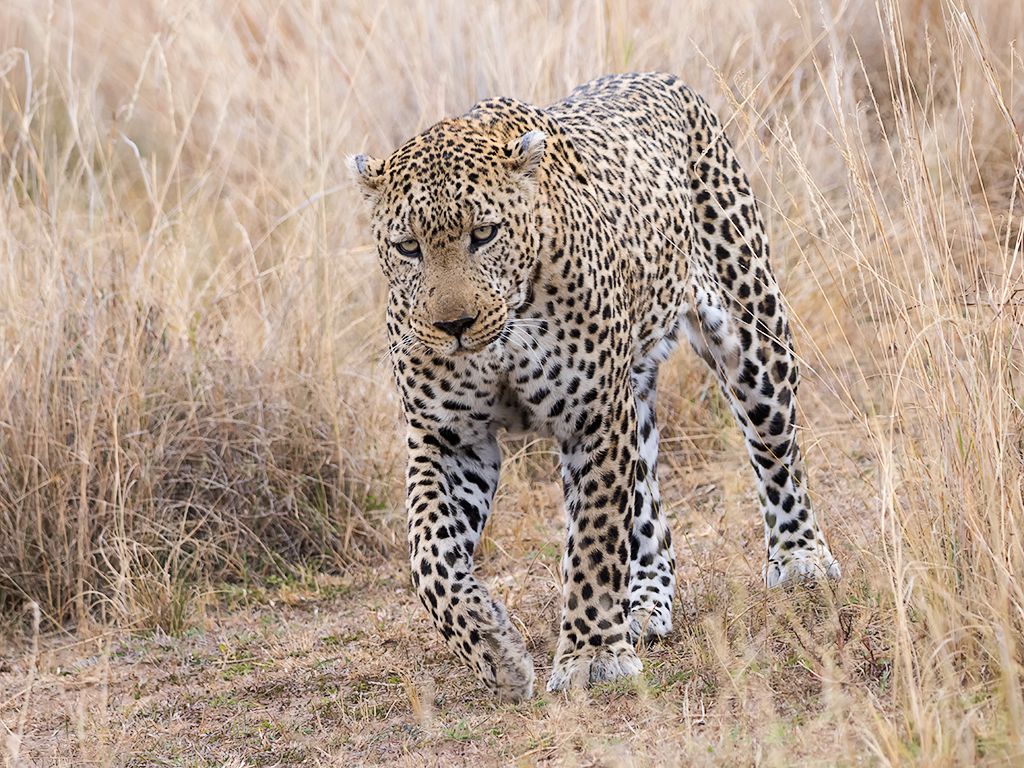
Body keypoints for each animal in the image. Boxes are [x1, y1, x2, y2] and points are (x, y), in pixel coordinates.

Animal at [348, 72, 840, 701]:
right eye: (407, 246)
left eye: (484, 234)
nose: (453, 325)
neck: (505, 333)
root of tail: (663, 78)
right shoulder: (448, 439)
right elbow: (428, 556)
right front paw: (495, 649)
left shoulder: (595, 418)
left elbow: (595, 539)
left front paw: (591, 655)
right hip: (635, 392)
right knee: (650, 509)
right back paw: (644, 605)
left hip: (752, 335)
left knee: (777, 450)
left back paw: (801, 558)